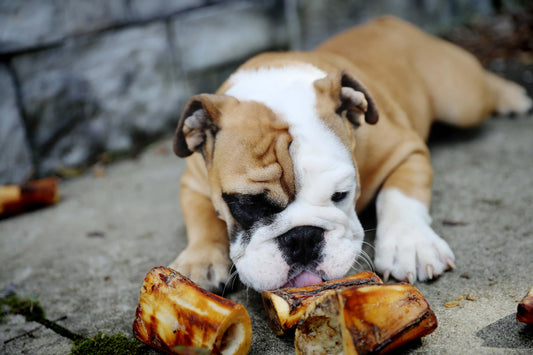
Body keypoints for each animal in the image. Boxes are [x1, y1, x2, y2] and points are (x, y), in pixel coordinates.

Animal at [168, 16, 528, 294]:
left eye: (341, 194)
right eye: (247, 204)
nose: (303, 237)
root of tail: (389, 21)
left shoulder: (405, 150)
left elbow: (399, 194)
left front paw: (409, 244)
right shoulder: (193, 182)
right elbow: (202, 219)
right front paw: (199, 262)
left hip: (461, 99)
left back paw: (512, 95)